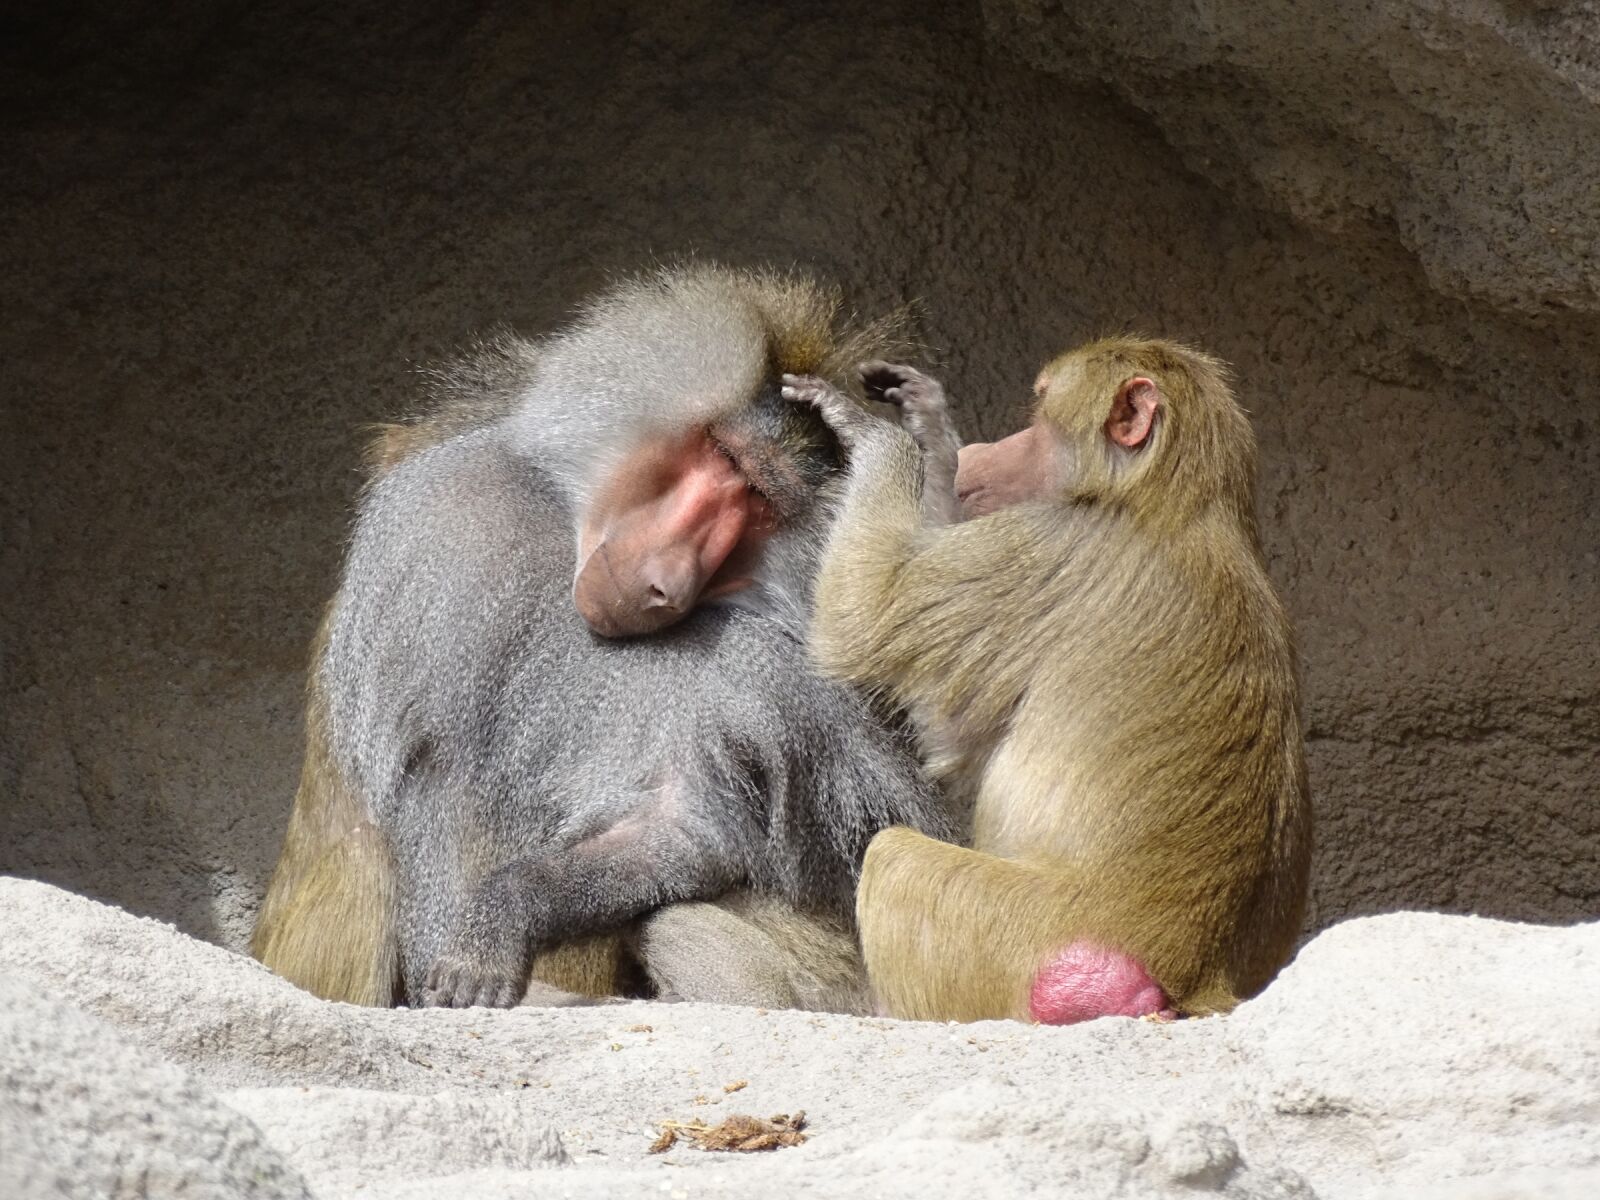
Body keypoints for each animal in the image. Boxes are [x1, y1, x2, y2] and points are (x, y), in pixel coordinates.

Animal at [251, 264, 949, 1010]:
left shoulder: (742, 668)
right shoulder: (442, 525)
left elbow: (679, 827)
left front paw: (501, 919)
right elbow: (436, 767)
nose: (668, 585)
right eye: (724, 457)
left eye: (761, 500)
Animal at [781, 337, 1311, 1024]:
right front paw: (930, 431)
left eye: (1036, 416)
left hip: (1020, 944)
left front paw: (875, 432)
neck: (1174, 503)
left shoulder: (1046, 545)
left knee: (894, 858)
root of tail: (1199, 982)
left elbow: (869, 620)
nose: (983, 451)